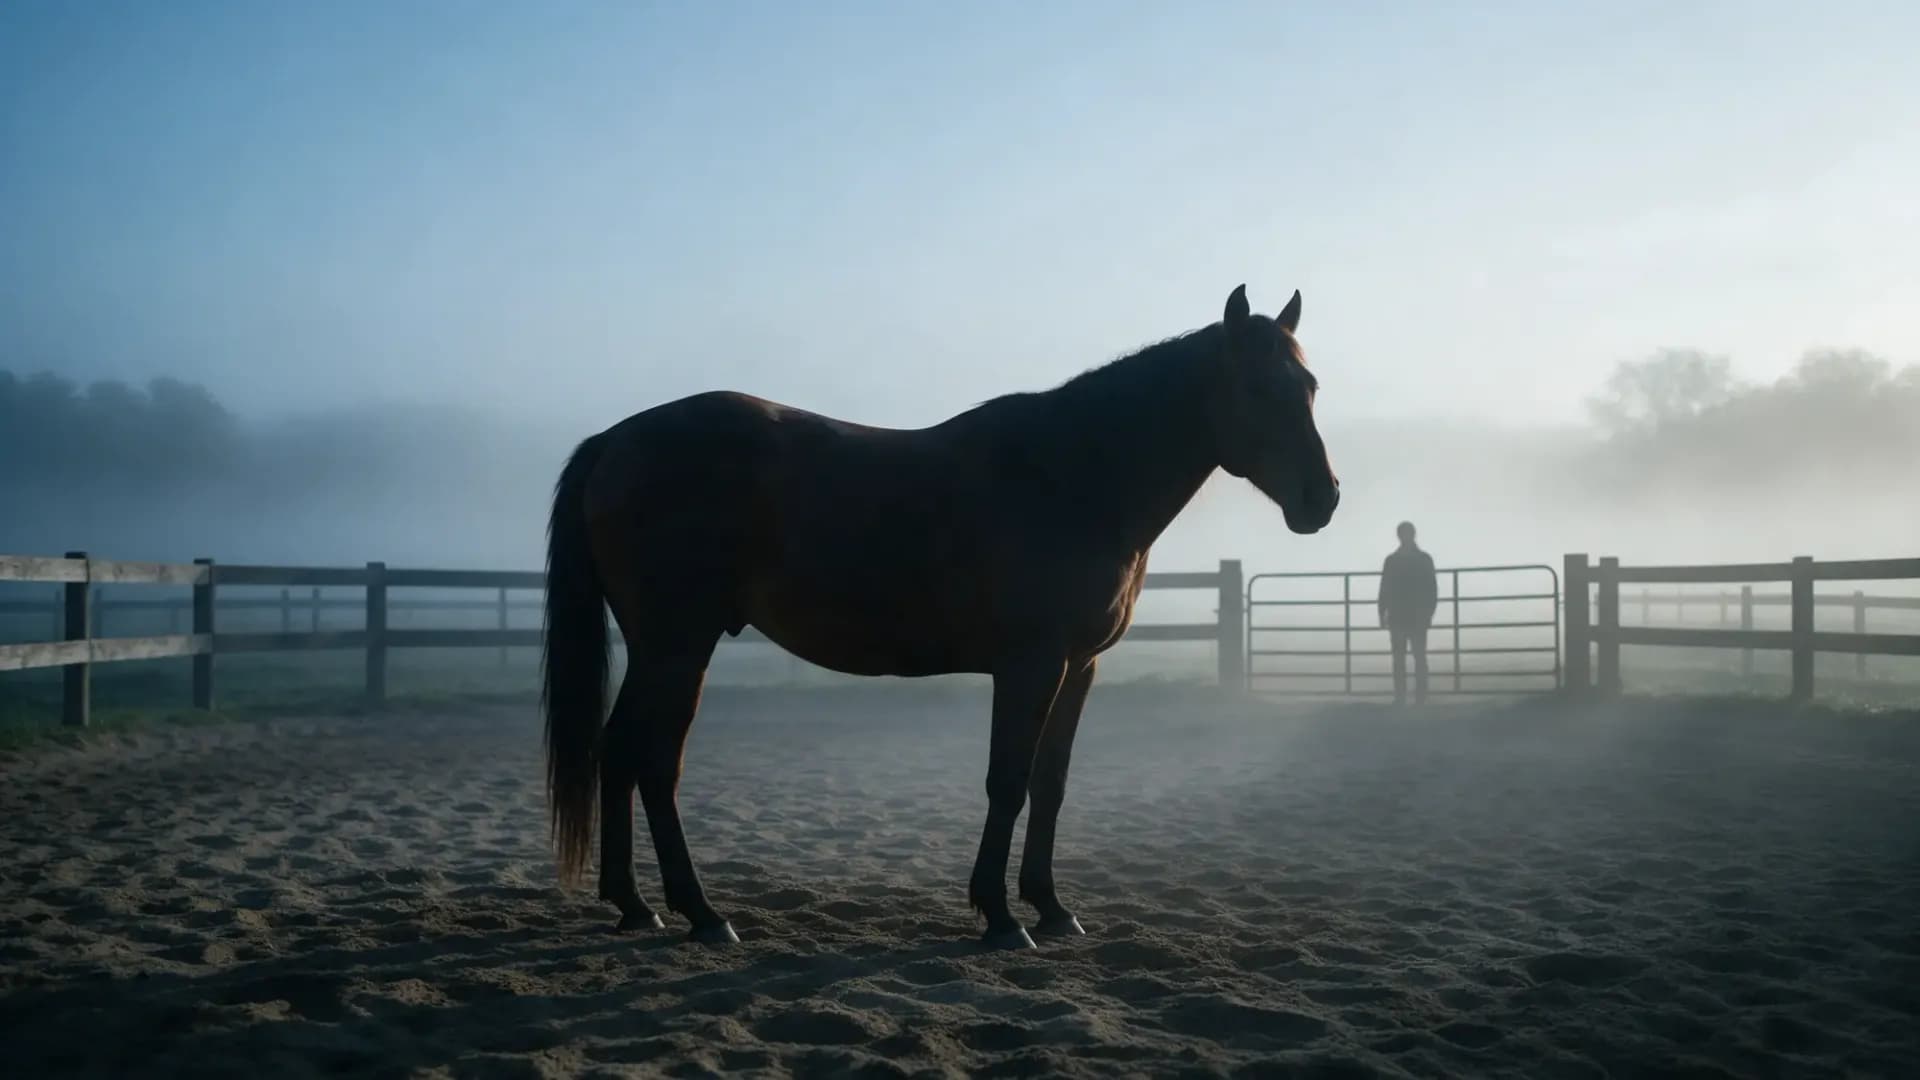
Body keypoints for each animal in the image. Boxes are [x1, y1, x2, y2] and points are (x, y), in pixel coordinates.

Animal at [540, 284, 1339, 949]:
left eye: (1308, 386)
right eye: (1258, 388)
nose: (1323, 498)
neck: (1075, 476)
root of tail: (615, 441)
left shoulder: (1080, 666)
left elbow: (1051, 785)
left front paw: (1052, 909)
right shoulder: (1030, 665)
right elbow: (1007, 781)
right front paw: (1001, 917)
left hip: (658, 649)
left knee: (618, 753)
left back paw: (636, 906)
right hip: (679, 646)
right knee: (654, 762)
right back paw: (702, 914)